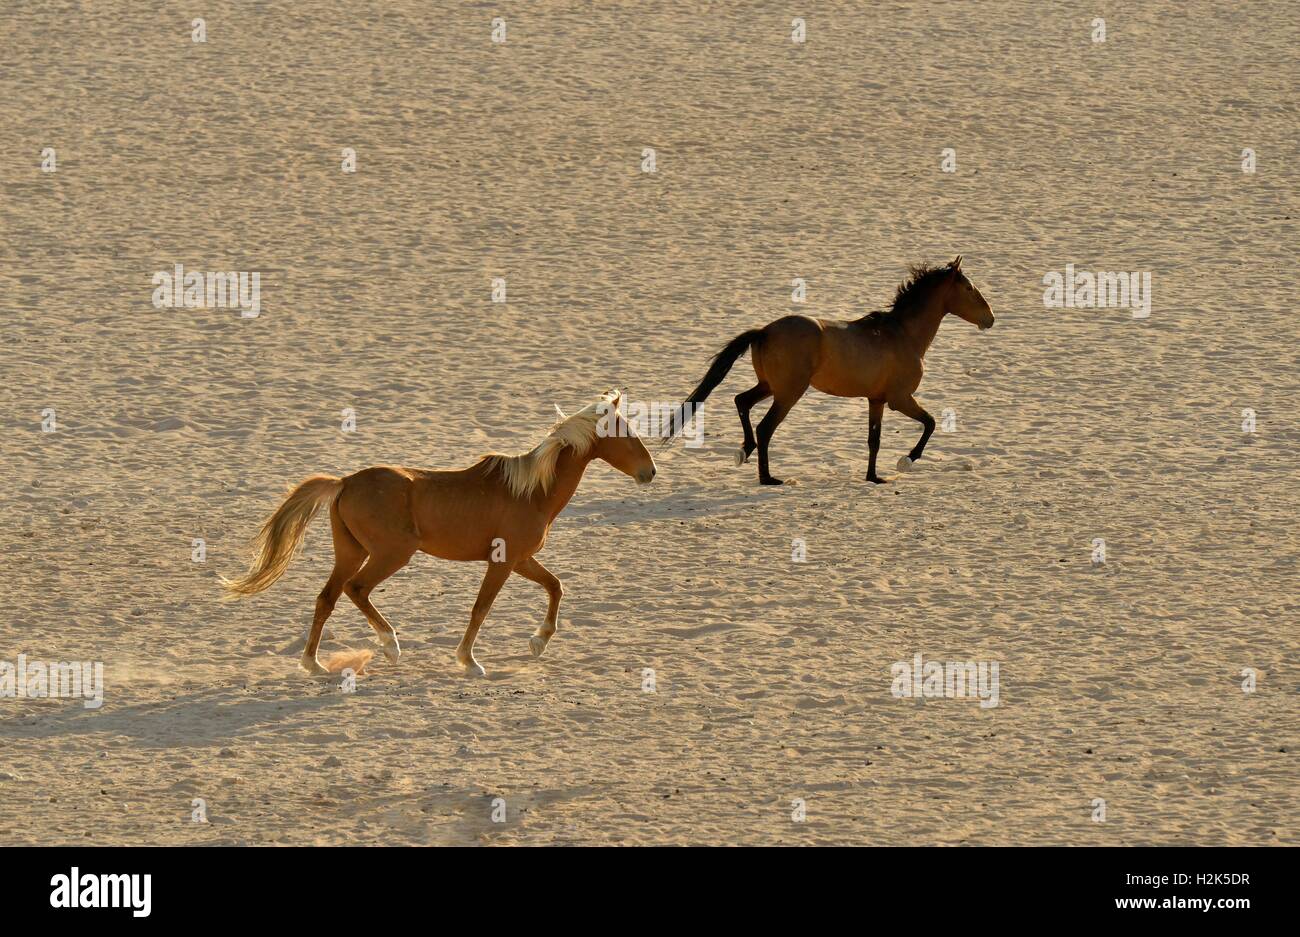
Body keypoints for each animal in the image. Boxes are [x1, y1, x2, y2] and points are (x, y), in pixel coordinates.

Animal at [223, 389, 655, 675]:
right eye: (626, 433)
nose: (649, 472)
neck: (532, 490)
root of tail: (344, 482)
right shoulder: (502, 561)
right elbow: (482, 607)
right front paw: (469, 660)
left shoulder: (521, 558)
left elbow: (555, 586)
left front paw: (538, 641)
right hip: (391, 553)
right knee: (355, 589)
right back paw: (390, 646)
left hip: (351, 552)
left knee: (327, 597)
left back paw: (313, 664)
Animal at [670, 257, 993, 486]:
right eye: (968, 288)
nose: (989, 318)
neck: (902, 334)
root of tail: (764, 331)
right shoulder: (900, 399)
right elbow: (931, 423)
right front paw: (907, 460)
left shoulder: (876, 400)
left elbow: (874, 440)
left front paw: (873, 477)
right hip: (788, 393)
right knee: (765, 427)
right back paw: (767, 477)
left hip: (769, 386)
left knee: (741, 401)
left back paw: (744, 451)